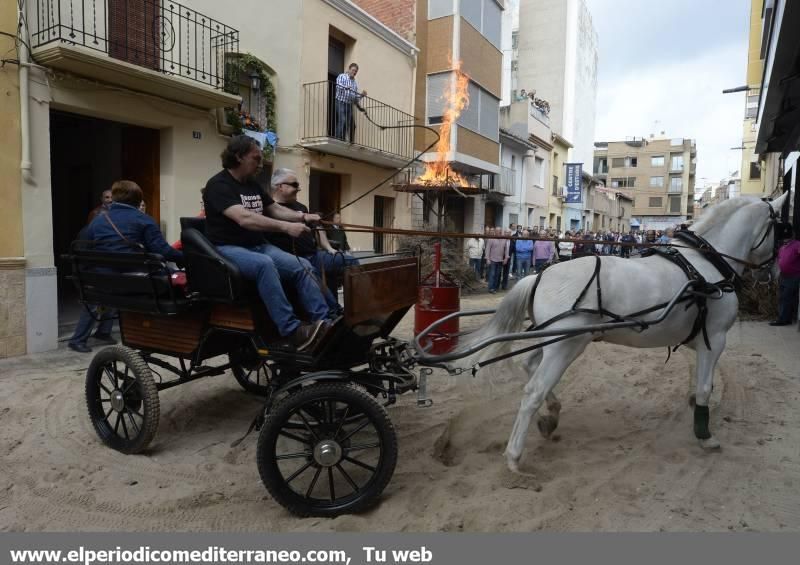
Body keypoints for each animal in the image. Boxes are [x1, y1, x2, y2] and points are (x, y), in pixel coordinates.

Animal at [460, 194, 784, 472]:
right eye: (782, 227)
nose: (773, 272)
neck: (704, 267)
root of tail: (540, 275)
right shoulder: (714, 340)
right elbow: (706, 387)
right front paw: (705, 435)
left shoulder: (695, 339)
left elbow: (702, 382)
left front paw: (693, 405)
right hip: (565, 346)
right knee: (533, 392)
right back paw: (515, 455)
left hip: (551, 341)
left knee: (529, 367)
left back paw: (550, 416)